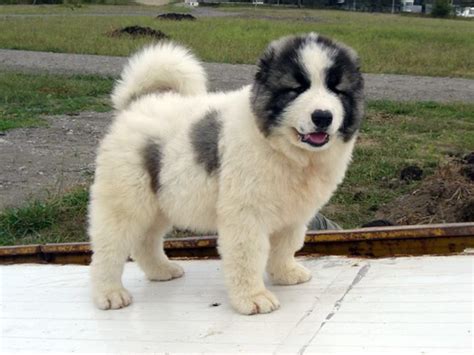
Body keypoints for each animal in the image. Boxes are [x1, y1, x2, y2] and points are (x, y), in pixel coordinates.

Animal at [88, 33, 362, 316]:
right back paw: (110, 293)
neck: (287, 152)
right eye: (296, 89)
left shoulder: (294, 215)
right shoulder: (246, 214)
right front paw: (253, 298)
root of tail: (135, 104)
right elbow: (248, 255)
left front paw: (285, 273)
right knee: (109, 247)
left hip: (159, 201)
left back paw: (162, 270)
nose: (322, 116)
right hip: (126, 200)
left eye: (337, 90)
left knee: (146, 240)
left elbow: (285, 246)